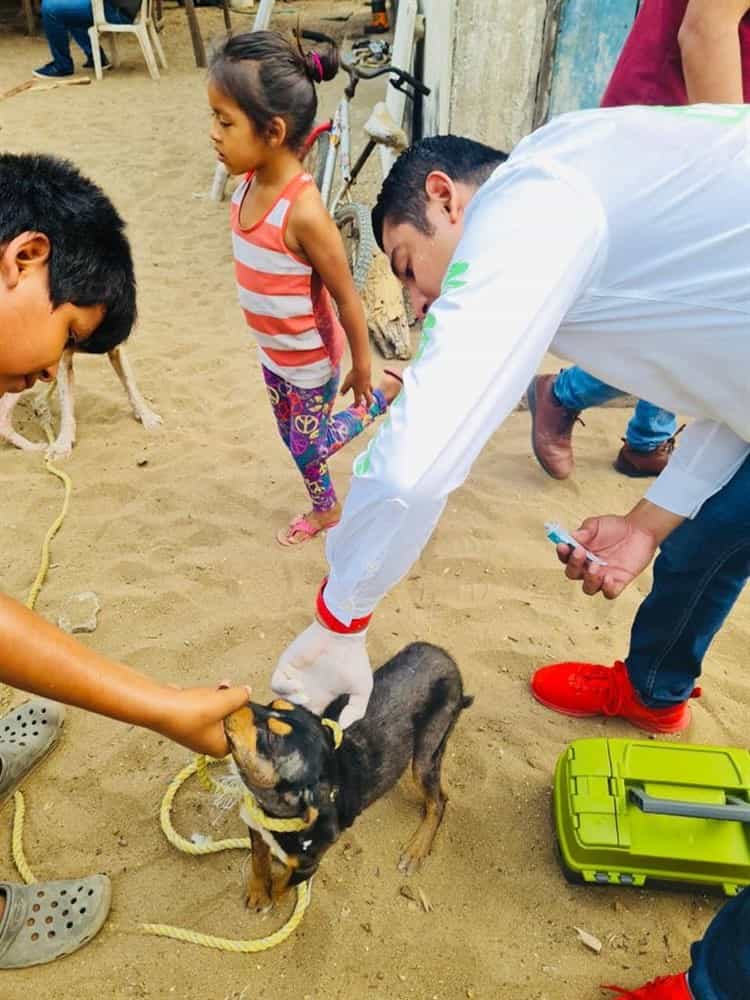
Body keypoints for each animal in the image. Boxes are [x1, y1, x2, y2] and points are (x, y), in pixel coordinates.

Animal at [0, 346, 163, 458]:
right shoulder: (62, 356)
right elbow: (66, 404)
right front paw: (63, 445)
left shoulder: (116, 345)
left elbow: (130, 383)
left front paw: (147, 417)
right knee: (3, 419)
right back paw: (32, 447)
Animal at [223, 644, 472, 912]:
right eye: (273, 703)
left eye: (270, 739)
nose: (226, 691)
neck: (276, 812)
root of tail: (444, 656)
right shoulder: (256, 827)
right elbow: (259, 859)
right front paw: (259, 893)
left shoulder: (307, 865)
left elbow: (283, 884)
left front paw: (275, 900)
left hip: (426, 756)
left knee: (438, 801)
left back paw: (417, 849)